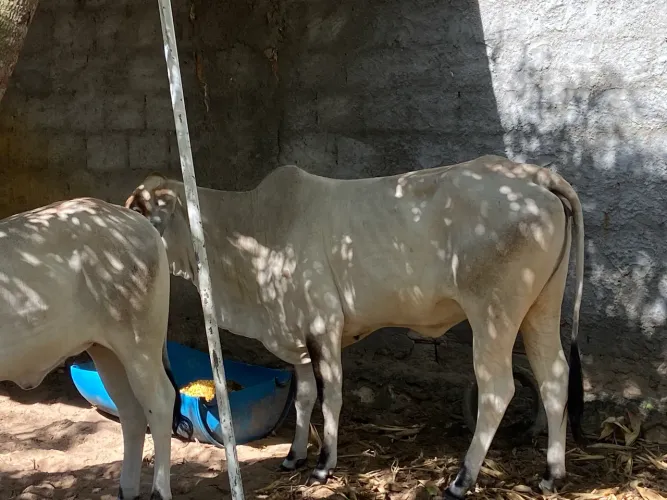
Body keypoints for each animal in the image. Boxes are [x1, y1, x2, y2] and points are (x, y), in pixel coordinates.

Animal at [0, 197, 193, 500]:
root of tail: (139, 222)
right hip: (106, 350)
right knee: (132, 413)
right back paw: (126, 490)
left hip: (139, 345)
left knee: (161, 402)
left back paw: (159, 492)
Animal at [125, 154, 585, 498]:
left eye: (142, 213)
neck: (255, 232)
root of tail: (535, 176)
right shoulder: (298, 337)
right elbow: (304, 397)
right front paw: (294, 456)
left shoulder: (323, 327)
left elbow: (331, 398)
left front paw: (323, 465)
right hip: (540, 309)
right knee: (554, 377)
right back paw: (551, 474)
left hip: (493, 315)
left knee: (497, 389)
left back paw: (462, 479)